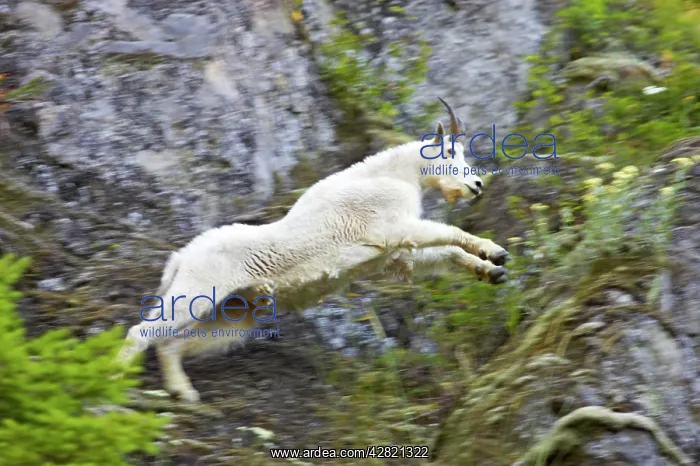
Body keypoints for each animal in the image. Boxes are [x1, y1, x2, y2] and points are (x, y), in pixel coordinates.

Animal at [117, 98, 511, 402]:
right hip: (196, 291)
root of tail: (181, 258)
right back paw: (115, 380)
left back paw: (184, 393)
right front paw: (493, 250)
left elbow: (441, 253)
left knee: (171, 345)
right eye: (450, 152)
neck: (394, 176)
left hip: (233, 315)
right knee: (141, 333)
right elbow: (449, 233)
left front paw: (493, 268)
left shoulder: (391, 255)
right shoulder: (391, 228)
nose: (477, 185)